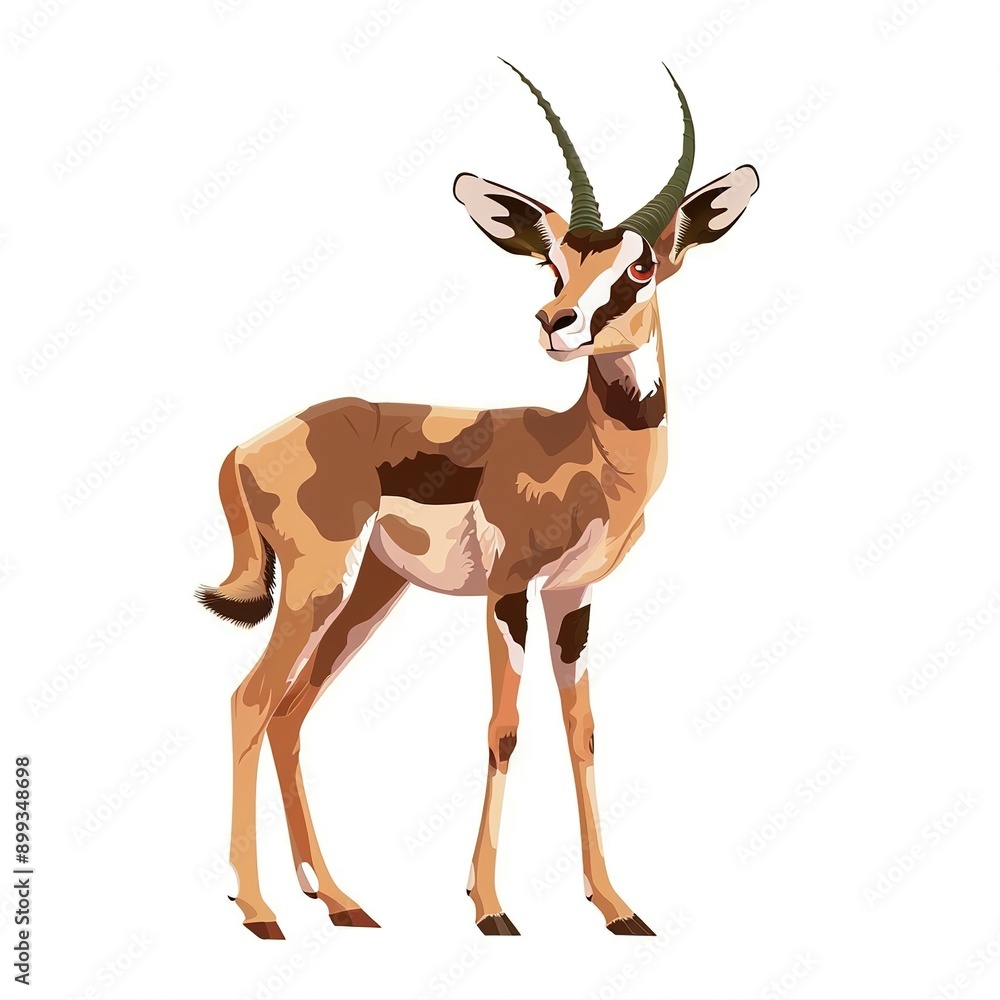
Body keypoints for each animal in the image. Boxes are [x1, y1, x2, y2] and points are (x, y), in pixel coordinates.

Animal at [198, 60, 758, 939]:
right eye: (552, 261)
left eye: (639, 266)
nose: (555, 321)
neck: (584, 452)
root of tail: (246, 447)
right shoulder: (509, 590)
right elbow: (504, 730)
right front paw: (491, 909)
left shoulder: (571, 596)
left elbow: (581, 732)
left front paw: (616, 907)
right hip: (318, 586)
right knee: (250, 701)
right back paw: (259, 913)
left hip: (370, 591)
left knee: (291, 711)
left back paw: (342, 902)